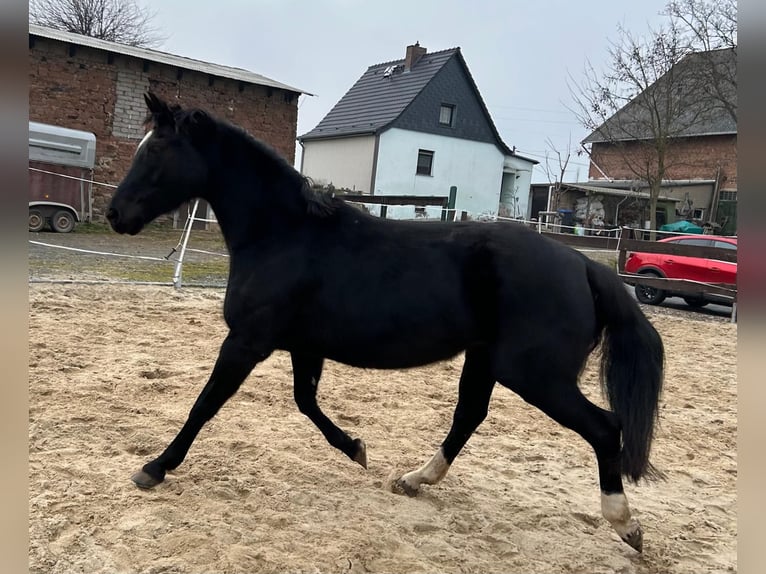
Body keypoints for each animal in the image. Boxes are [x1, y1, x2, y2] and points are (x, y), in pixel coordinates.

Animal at [108, 93, 664, 552]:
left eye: (155, 152)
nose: (116, 215)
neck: (284, 235)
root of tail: (585, 267)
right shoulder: (302, 346)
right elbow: (305, 402)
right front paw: (356, 448)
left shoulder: (247, 341)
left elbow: (205, 404)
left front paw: (154, 468)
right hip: (487, 361)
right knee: (468, 417)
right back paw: (413, 480)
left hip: (534, 375)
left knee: (604, 427)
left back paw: (627, 526)